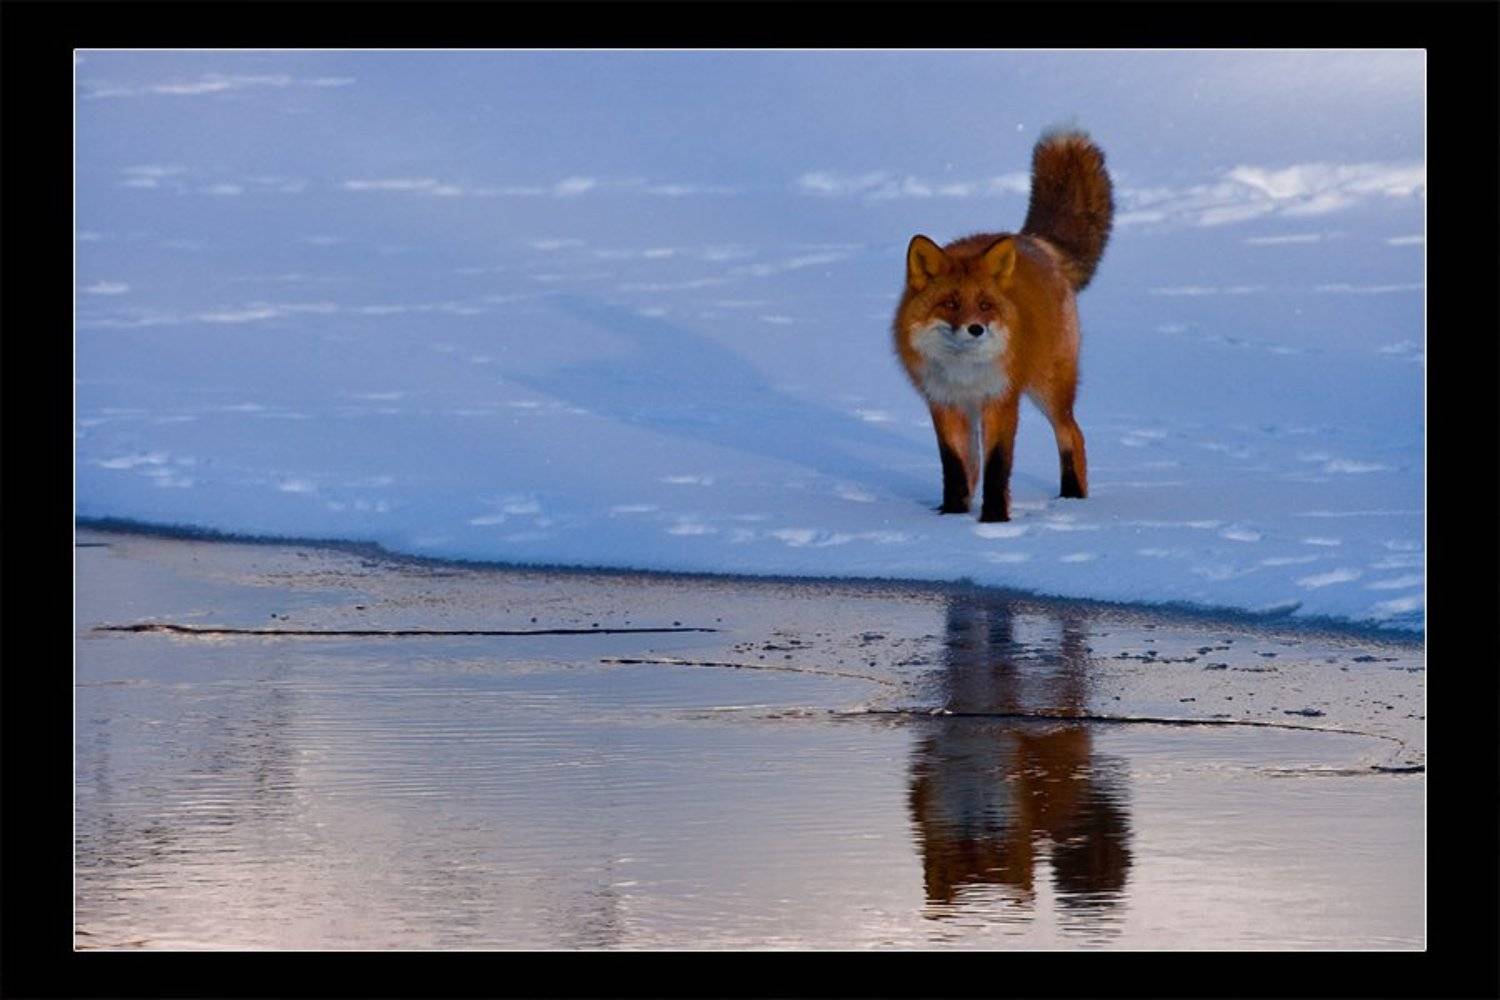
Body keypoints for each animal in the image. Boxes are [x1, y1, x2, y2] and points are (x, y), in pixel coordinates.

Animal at [893, 128, 1114, 523]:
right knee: (972, 464)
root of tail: (1036, 243)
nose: (975, 329)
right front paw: (951, 516)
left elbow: (998, 466)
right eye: (950, 304)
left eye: (985, 306)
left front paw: (994, 520)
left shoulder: (1001, 399)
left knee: (1072, 434)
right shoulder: (944, 403)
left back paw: (1072, 498)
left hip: (1049, 387)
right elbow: (954, 466)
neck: (964, 374)